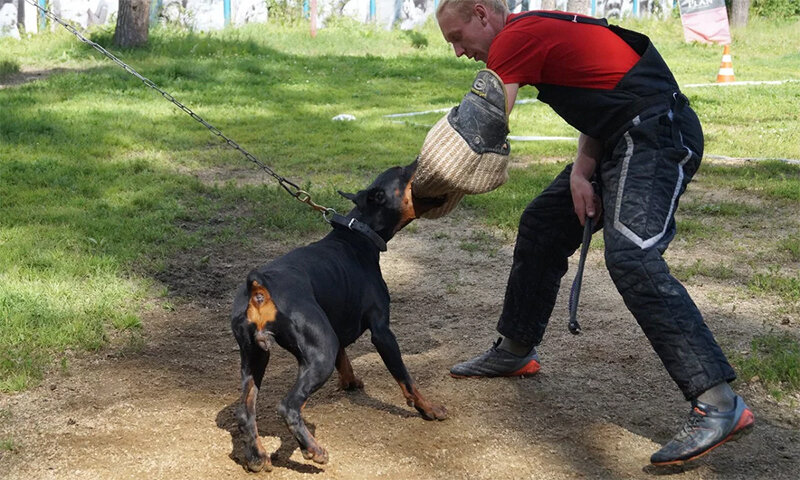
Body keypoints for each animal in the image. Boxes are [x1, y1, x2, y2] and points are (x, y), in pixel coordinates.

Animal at [231, 159, 446, 470]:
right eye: (403, 171)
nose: (418, 160)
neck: (359, 235)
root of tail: (258, 287)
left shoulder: (333, 323)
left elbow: (345, 357)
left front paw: (350, 382)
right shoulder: (382, 332)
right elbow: (407, 379)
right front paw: (428, 408)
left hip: (255, 356)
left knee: (246, 411)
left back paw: (257, 457)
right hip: (321, 353)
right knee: (288, 406)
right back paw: (313, 450)